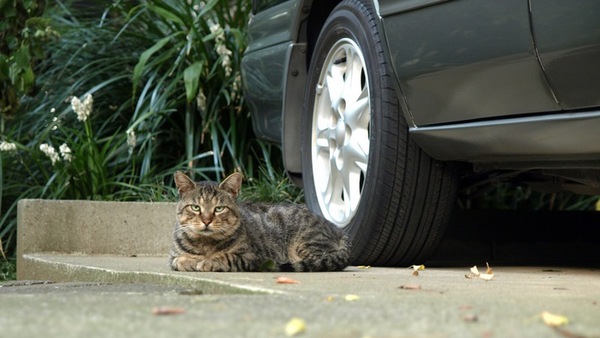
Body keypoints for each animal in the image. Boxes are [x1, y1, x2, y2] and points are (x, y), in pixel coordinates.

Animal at [168, 172, 352, 272]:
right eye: (195, 207)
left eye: (219, 209)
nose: (206, 221)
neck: (205, 244)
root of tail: (338, 230)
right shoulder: (173, 257)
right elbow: (177, 260)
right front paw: (189, 261)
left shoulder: (251, 257)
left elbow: (226, 256)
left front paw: (209, 261)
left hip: (307, 245)